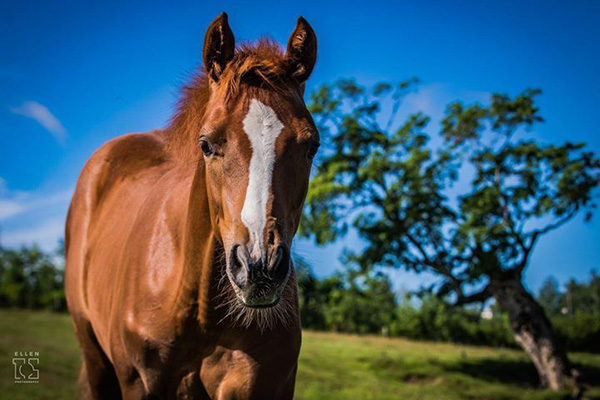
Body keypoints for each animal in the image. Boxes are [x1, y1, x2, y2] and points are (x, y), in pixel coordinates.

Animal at [65, 13, 318, 400]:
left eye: (311, 146)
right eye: (206, 144)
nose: (259, 267)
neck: (201, 314)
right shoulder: (139, 383)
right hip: (94, 358)